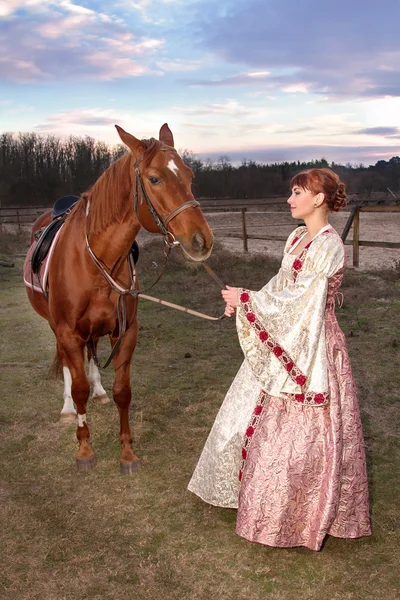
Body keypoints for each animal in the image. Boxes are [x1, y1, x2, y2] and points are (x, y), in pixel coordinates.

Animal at [23, 123, 214, 474]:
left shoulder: (125, 331)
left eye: (190, 175)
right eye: (154, 179)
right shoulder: (68, 331)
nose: (201, 240)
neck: (96, 259)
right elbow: (79, 386)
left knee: (92, 354)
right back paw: (68, 408)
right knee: (69, 367)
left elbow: (122, 392)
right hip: (56, 327)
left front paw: (127, 453)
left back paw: (98, 392)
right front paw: (85, 449)